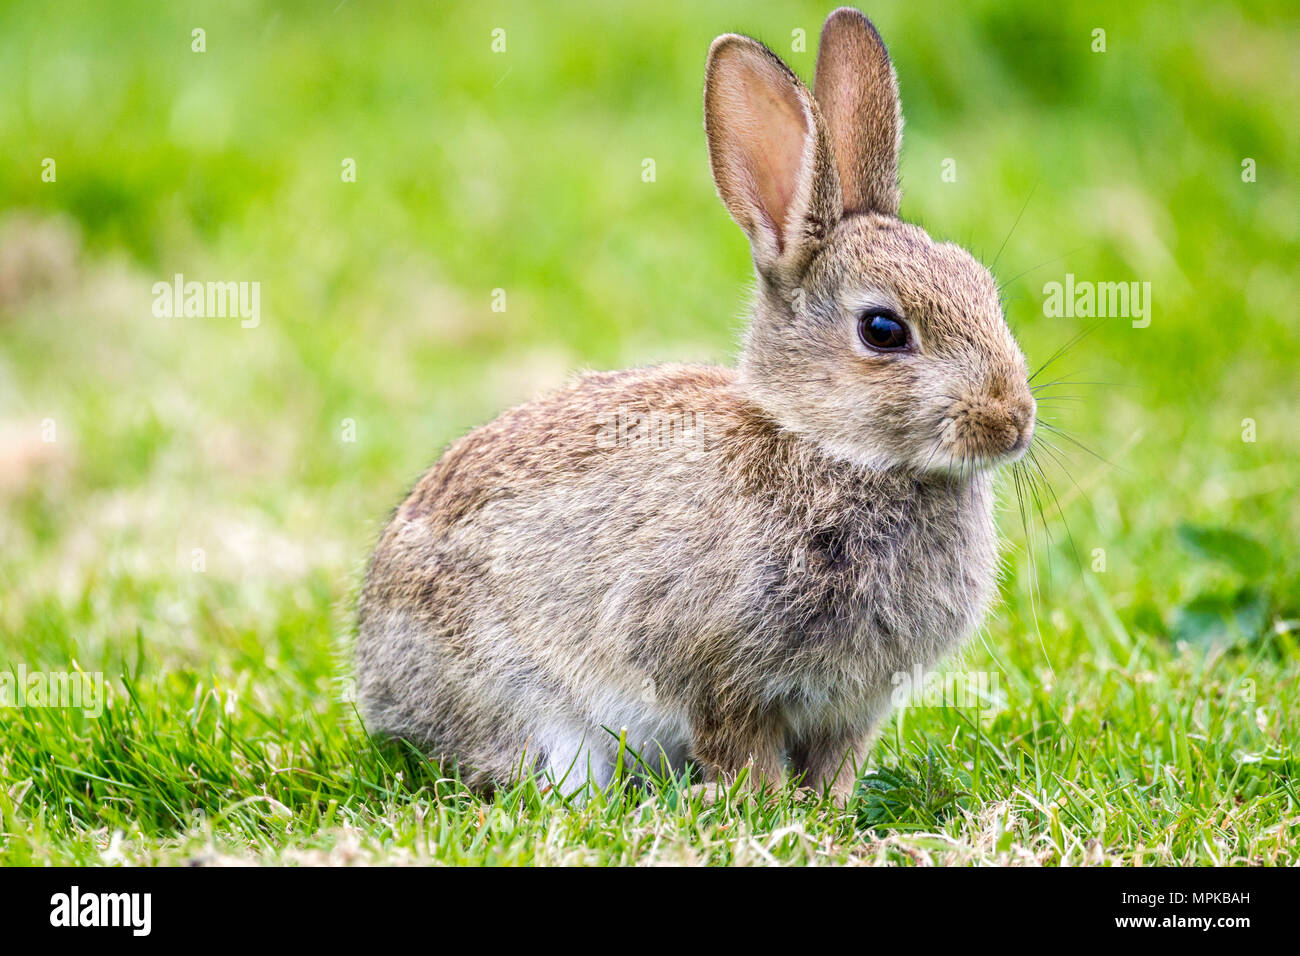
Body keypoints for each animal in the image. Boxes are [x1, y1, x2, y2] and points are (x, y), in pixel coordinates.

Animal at [356, 7, 1035, 799]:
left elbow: (836, 763)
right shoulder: (712, 673)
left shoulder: (854, 706)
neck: (827, 448)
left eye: (984, 288)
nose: (1012, 420)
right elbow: (740, 746)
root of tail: (373, 679)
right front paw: (765, 806)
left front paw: (829, 810)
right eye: (883, 330)